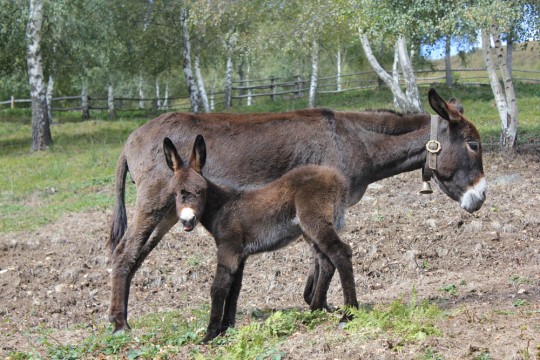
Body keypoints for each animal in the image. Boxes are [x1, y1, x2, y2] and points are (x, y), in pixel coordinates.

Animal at [163, 136, 358, 344]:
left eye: (200, 191)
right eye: (174, 193)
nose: (187, 220)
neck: (222, 208)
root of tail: (336, 177)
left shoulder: (228, 249)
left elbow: (219, 287)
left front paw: (210, 335)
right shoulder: (240, 255)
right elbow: (234, 289)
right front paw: (226, 328)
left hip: (315, 222)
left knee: (341, 252)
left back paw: (348, 315)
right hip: (310, 230)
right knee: (326, 261)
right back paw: (314, 311)